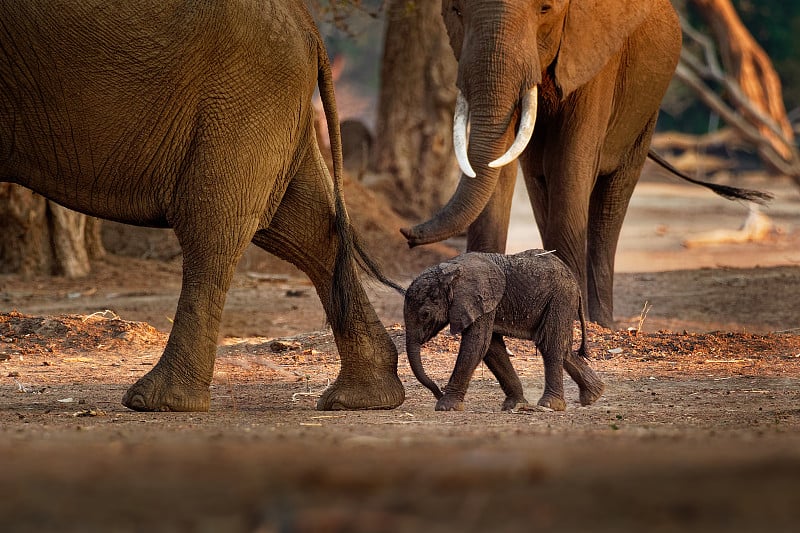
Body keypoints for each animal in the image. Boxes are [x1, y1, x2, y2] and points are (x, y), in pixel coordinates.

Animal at [0, 0, 400, 412]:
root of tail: (308, 23)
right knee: (308, 228)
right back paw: (364, 398)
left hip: (243, 93)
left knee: (212, 227)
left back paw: (158, 400)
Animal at [400, 0, 680, 328]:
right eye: (456, 11)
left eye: (545, 9)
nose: (408, 234)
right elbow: (502, 162)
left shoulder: (595, 61)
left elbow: (571, 159)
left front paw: (572, 316)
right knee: (539, 181)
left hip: (646, 112)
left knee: (612, 199)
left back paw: (601, 323)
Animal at [404, 249, 604, 412]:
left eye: (425, 314)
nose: (439, 391)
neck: (451, 270)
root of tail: (574, 281)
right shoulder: (483, 304)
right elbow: (492, 348)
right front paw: (515, 405)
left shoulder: (480, 300)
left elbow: (476, 345)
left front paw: (446, 407)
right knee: (560, 347)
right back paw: (594, 395)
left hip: (560, 298)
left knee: (550, 345)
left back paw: (551, 405)